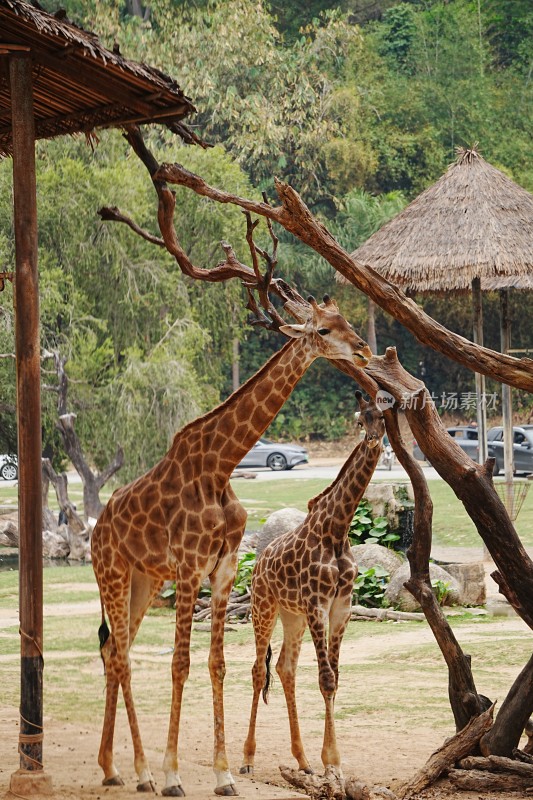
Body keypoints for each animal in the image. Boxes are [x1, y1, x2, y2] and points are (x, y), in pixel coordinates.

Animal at [240, 390, 382, 780]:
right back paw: (247, 758)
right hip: (264, 608)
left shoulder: (340, 607)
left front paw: (330, 763)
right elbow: (325, 679)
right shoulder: (319, 604)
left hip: (294, 617)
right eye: (360, 419)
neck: (338, 528)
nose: (373, 439)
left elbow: (335, 677)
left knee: (284, 668)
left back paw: (302, 761)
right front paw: (331, 762)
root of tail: (258, 563)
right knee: (258, 670)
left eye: (382, 416)